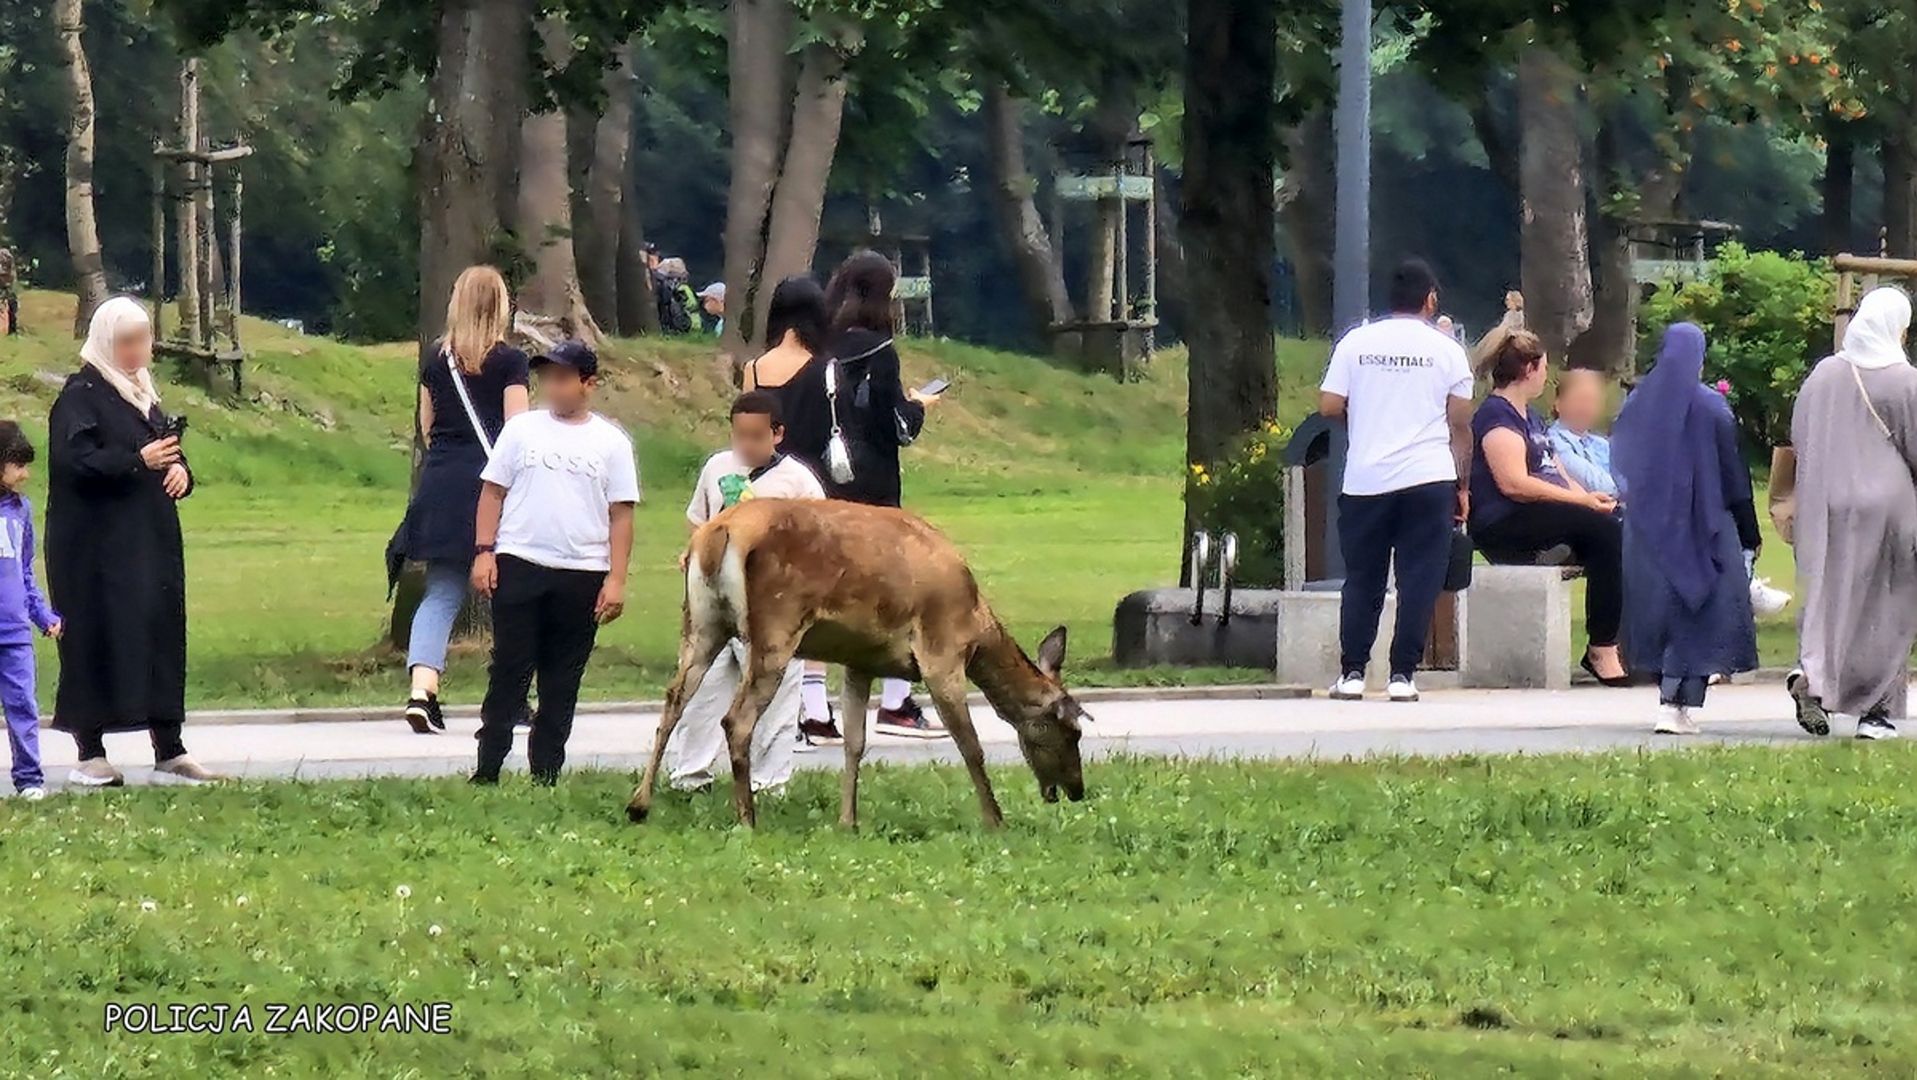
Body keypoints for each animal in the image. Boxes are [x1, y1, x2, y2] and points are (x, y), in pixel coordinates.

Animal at [621, 498, 1088, 828]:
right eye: (1072, 732)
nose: (1077, 790)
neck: (977, 629)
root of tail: (718, 532)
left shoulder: (860, 660)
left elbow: (855, 742)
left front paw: (849, 821)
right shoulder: (940, 653)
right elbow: (970, 744)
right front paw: (995, 820)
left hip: (701, 622)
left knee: (674, 699)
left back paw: (639, 805)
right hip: (775, 624)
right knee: (736, 719)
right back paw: (747, 819)